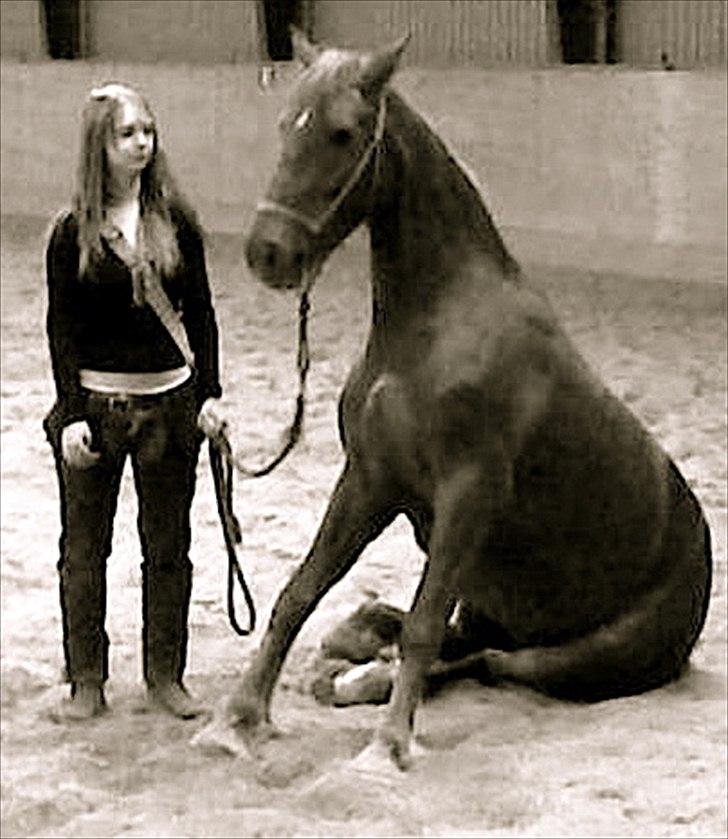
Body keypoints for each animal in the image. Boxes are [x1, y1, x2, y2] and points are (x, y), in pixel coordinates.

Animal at [222, 31, 712, 768]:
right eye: (286, 124)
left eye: (342, 133)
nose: (268, 253)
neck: (429, 327)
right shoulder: (371, 479)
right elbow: (299, 591)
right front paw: (240, 716)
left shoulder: (467, 490)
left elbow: (423, 628)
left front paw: (388, 746)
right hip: (489, 599)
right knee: (454, 639)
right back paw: (353, 648)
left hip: (561, 658)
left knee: (484, 660)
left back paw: (363, 677)